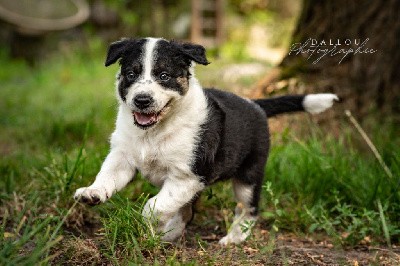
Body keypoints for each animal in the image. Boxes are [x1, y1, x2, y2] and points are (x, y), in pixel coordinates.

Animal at [74, 37, 338, 245]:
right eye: (131, 74)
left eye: (164, 76)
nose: (142, 100)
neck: (155, 132)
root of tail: (256, 105)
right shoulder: (123, 155)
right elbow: (107, 175)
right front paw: (92, 193)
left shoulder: (188, 175)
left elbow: (156, 205)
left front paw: (148, 224)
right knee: (187, 211)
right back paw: (172, 234)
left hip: (249, 174)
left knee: (249, 208)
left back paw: (234, 238)